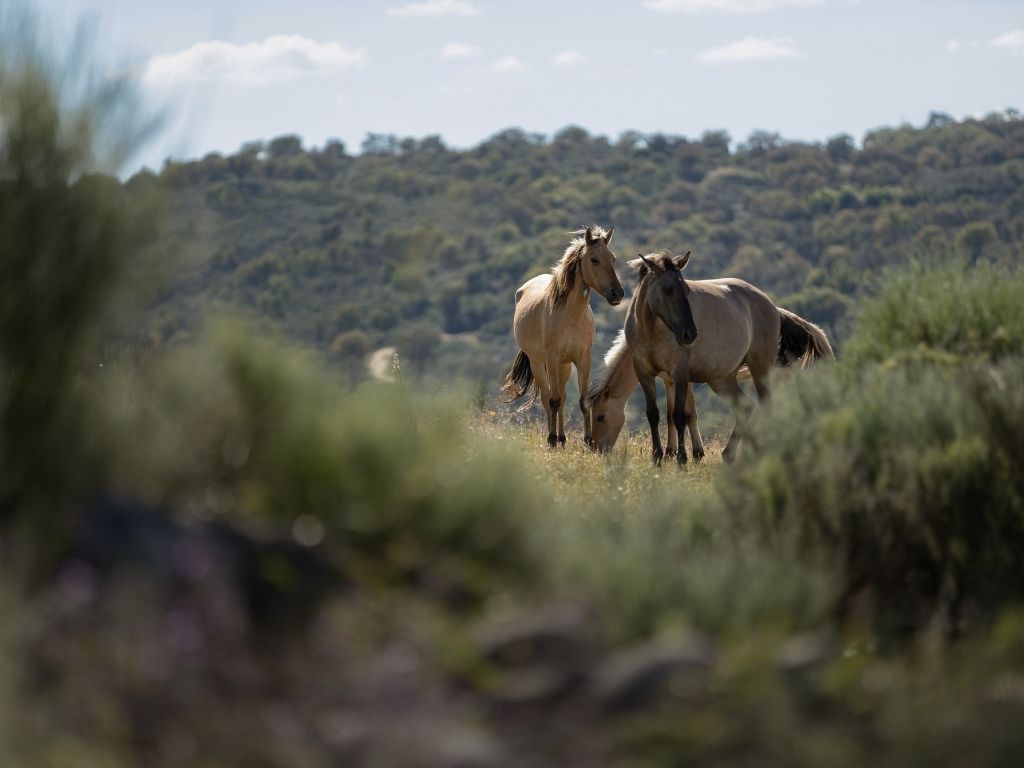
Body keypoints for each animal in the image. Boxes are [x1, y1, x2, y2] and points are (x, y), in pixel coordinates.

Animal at [500, 226, 624, 447]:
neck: (571, 315)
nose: (617, 293)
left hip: (563, 366)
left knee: (562, 397)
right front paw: (551, 439)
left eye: (613, 258)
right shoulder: (552, 358)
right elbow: (553, 399)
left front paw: (588, 440)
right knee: (548, 397)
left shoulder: (583, 358)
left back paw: (562, 437)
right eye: (594, 259)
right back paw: (554, 438)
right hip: (539, 363)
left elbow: (582, 400)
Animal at [623, 251, 833, 465]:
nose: (689, 334)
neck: (651, 331)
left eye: (687, 290)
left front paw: (682, 460)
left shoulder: (679, 373)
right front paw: (657, 457)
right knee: (745, 407)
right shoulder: (644, 373)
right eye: (667, 289)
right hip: (722, 379)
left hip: (760, 369)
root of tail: (771, 305)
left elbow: (679, 415)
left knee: (765, 406)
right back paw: (730, 455)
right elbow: (653, 414)